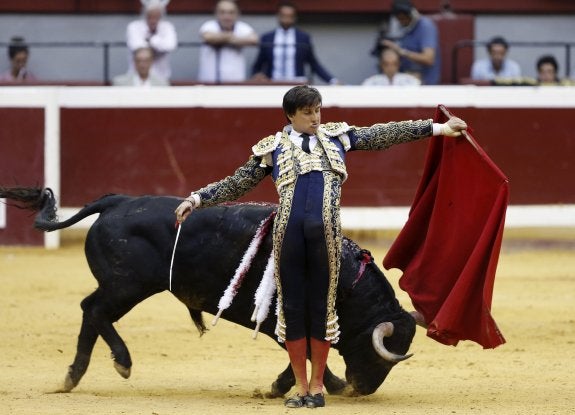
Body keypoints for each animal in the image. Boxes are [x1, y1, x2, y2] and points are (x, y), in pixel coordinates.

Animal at [0, 188, 414, 396]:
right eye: (378, 355)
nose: (363, 389)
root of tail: (117, 201)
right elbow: (306, 351)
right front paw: (302, 386)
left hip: (121, 286)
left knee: (90, 312)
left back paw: (73, 377)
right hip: (126, 286)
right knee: (94, 310)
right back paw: (121, 362)